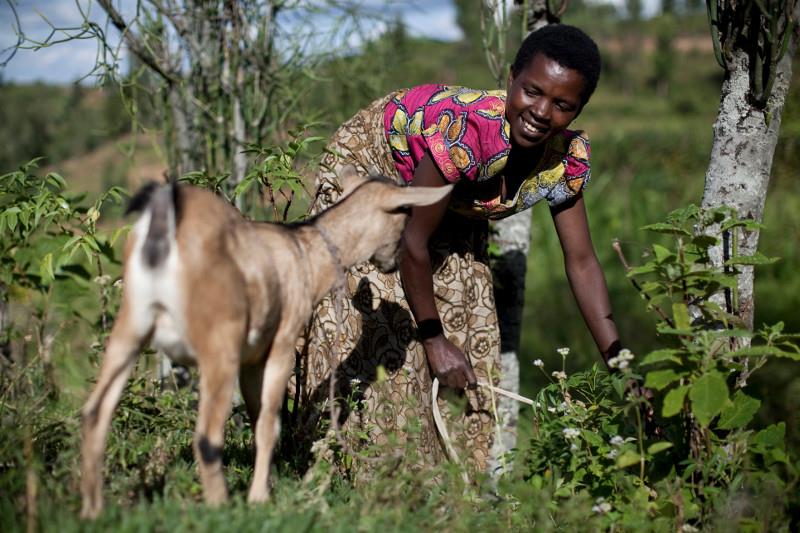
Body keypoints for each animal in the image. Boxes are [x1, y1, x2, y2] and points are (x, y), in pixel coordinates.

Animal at [82, 166, 456, 516]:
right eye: (405, 215)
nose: (394, 263)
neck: (306, 254)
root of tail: (164, 222)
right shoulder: (281, 343)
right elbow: (268, 424)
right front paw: (260, 498)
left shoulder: (252, 357)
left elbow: (256, 413)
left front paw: (269, 481)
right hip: (218, 345)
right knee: (206, 437)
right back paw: (221, 508)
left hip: (130, 326)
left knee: (95, 413)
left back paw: (93, 511)